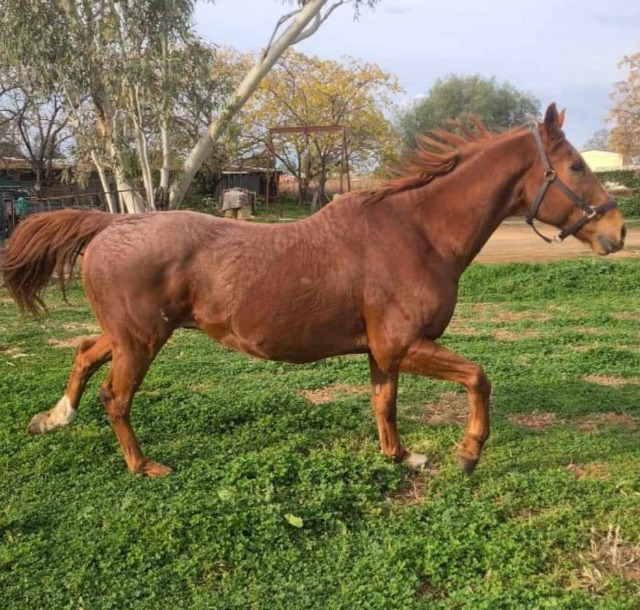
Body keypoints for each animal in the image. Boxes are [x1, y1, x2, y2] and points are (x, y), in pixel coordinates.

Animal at [1, 104, 626, 477]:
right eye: (575, 166)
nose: (617, 232)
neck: (416, 232)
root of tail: (111, 223)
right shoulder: (404, 345)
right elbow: (478, 378)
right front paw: (469, 453)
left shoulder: (383, 353)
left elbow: (385, 404)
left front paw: (401, 457)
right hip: (141, 340)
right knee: (116, 396)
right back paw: (143, 466)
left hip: (129, 333)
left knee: (84, 352)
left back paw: (53, 418)